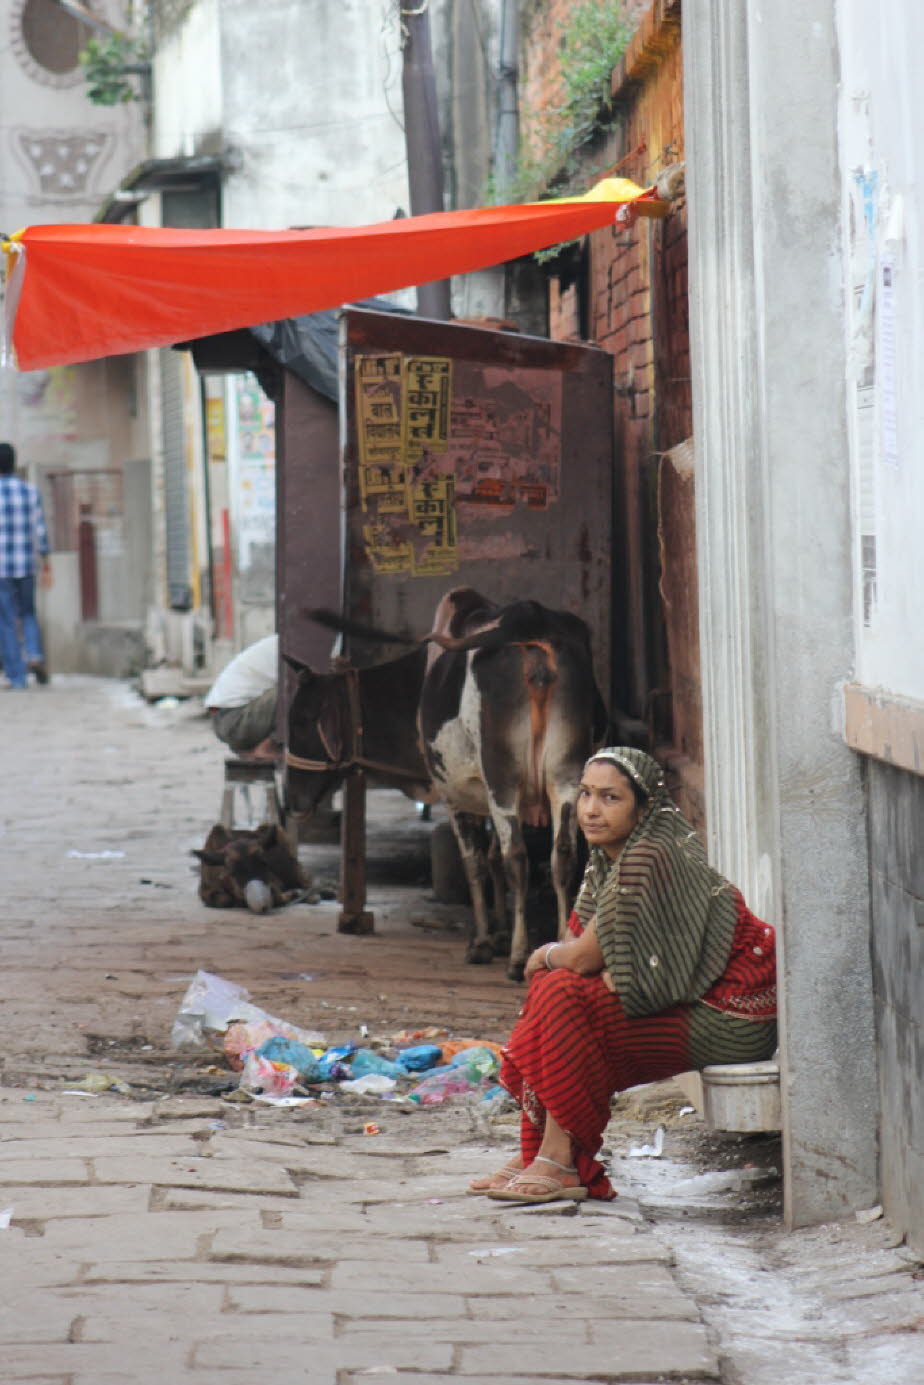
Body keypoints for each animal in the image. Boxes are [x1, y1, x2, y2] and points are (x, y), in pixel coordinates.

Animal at [285, 590, 609, 980]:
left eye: (300, 720)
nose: (291, 799)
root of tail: (530, 620)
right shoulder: (484, 796)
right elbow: (492, 860)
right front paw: (499, 934)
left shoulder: (455, 796)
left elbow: (476, 864)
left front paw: (484, 941)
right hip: (566, 776)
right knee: (562, 857)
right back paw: (557, 945)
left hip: (505, 778)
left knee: (517, 858)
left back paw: (519, 958)